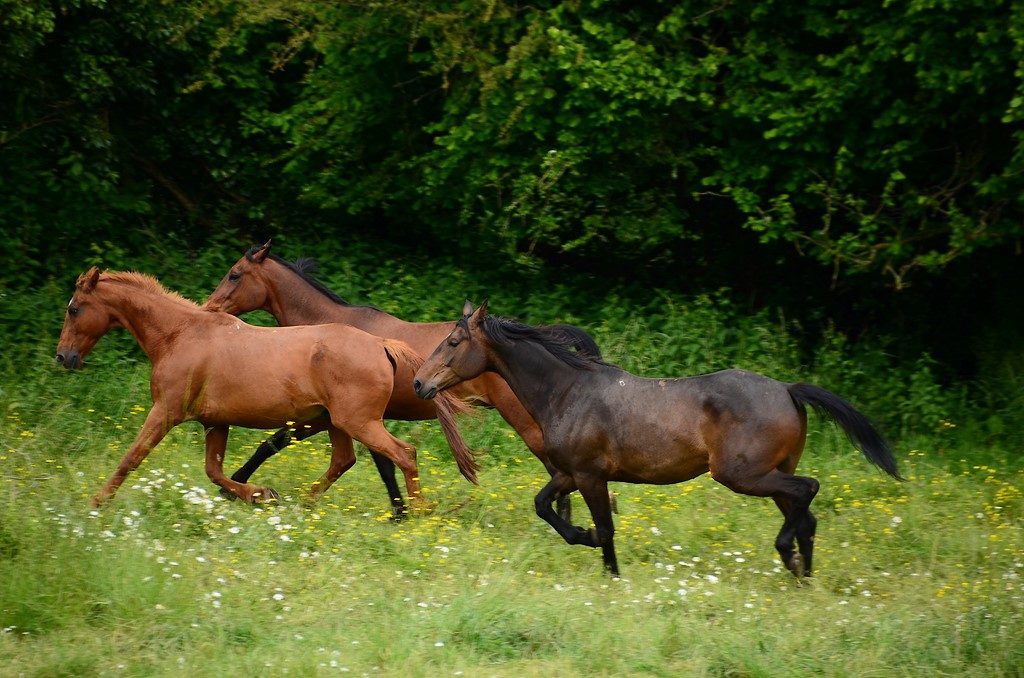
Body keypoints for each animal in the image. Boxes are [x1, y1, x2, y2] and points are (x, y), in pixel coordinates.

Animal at [51, 268, 475, 512]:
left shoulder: (166, 411)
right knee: (345, 461)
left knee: (403, 454)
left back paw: (417, 512)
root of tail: (382, 344)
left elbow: (131, 458)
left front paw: (97, 503)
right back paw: (305, 503)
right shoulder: (215, 423)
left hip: (359, 422)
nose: (63, 356)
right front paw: (260, 494)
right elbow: (214, 471)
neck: (180, 335)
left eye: (73, 309)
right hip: (338, 422)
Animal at [199, 241, 598, 518]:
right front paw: (400, 511)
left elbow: (277, 444)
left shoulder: (339, 416)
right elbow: (376, 463)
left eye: (234, 274)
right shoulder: (337, 417)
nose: (209, 308)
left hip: (526, 423)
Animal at [411, 303, 901, 577]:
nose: (418, 383)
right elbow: (542, 505)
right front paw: (585, 539)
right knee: (807, 515)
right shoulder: (570, 473)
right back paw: (803, 575)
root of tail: (787, 389)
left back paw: (789, 559)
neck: (568, 391)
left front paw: (606, 565)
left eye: (453, 342)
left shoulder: (590, 475)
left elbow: (605, 527)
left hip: (743, 474)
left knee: (807, 492)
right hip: (772, 472)